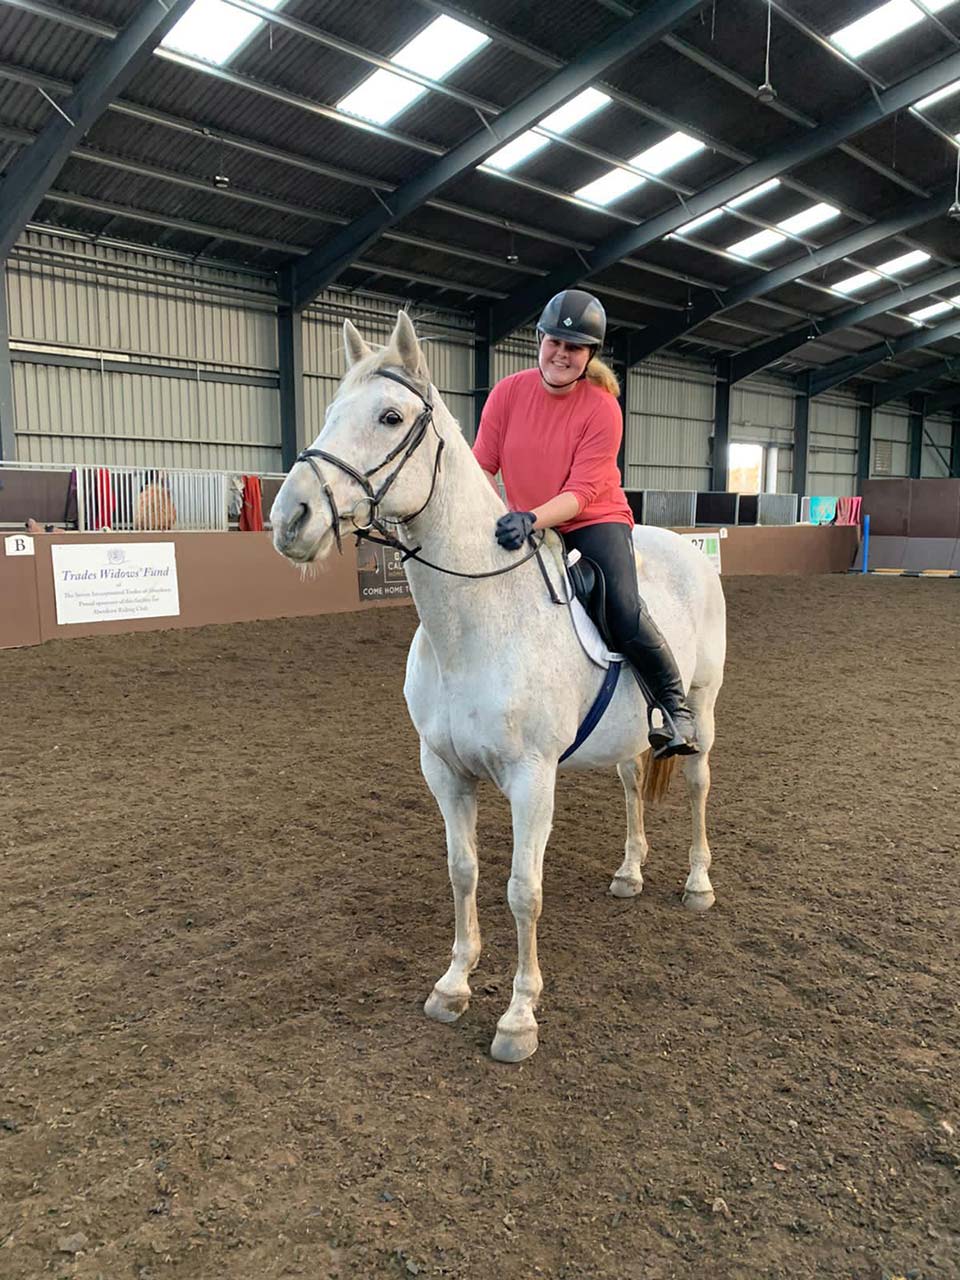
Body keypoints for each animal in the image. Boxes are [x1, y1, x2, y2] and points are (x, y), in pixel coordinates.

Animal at [271, 314, 727, 1064]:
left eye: (390, 417)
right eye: (331, 411)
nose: (290, 519)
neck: (475, 626)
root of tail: (685, 548)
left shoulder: (530, 779)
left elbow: (522, 891)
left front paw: (519, 1017)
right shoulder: (445, 772)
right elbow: (464, 872)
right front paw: (453, 985)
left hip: (704, 710)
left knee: (696, 785)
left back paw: (697, 884)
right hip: (632, 733)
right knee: (634, 782)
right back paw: (630, 874)